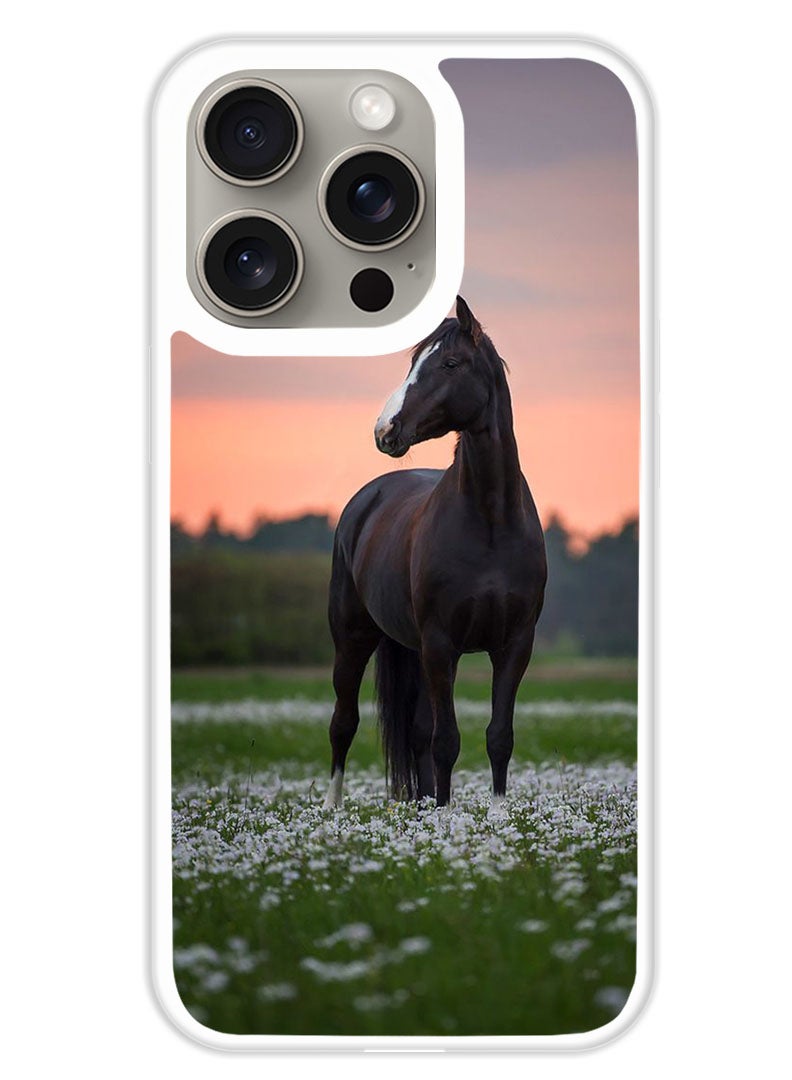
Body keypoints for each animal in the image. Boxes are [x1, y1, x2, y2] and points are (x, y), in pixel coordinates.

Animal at [324, 296, 547, 810]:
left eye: (450, 363)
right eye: (412, 364)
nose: (385, 430)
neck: (490, 523)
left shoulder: (514, 645)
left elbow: (498, 736)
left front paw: (496, 815)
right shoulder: (442, 643)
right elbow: (448, 740)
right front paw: (446, 817)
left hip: (413, 648)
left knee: (417, 730)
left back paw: (423, 804)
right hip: (354, 639)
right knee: (344, 722)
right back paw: (332, 808)